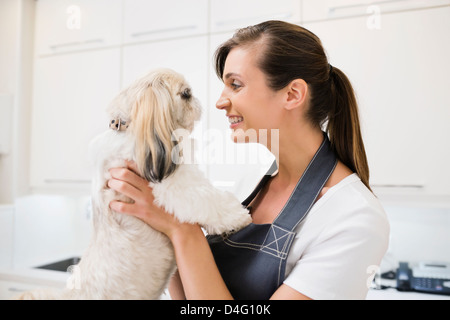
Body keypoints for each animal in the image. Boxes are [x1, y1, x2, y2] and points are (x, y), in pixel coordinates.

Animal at [15, 68, 251, 300]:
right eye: (185, 94)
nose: (198, 101)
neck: (129, 127)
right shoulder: (175, 187)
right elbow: (209, 200)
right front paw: (237, 217)